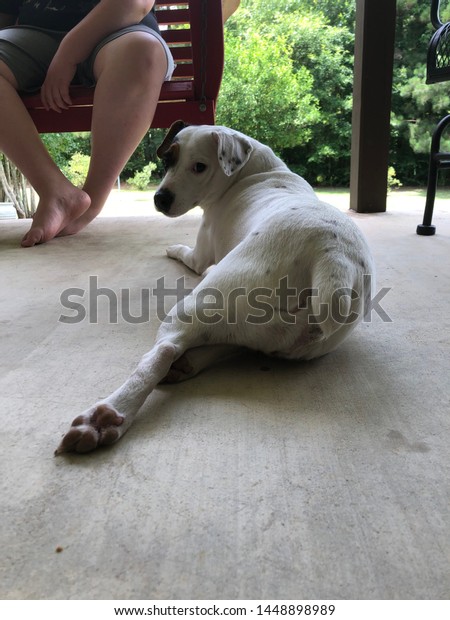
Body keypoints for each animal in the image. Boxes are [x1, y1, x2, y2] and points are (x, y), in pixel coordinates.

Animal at [55, 123, 372, 452]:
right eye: (169, 159)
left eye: (199, 167)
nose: (160, 198)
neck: (252, 171)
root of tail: (334, 257)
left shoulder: (199, 254)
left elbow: (186, 254)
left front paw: (173, 248)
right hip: (279, 334)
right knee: (229, 343)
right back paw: (187, 364)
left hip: (196, 304)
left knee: (162, 353)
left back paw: (108, 414)